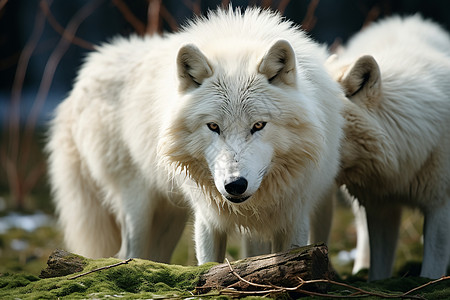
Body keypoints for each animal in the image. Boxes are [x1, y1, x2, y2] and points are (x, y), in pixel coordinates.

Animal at [47, 6, 342, 264]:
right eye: (213, 126)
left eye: (258, 125)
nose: (235, 185)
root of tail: (87, 72)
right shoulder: (208, 218)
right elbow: (208, 266)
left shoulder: (295, 215)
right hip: (138, 203)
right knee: (127, 254)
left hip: (170, 216)